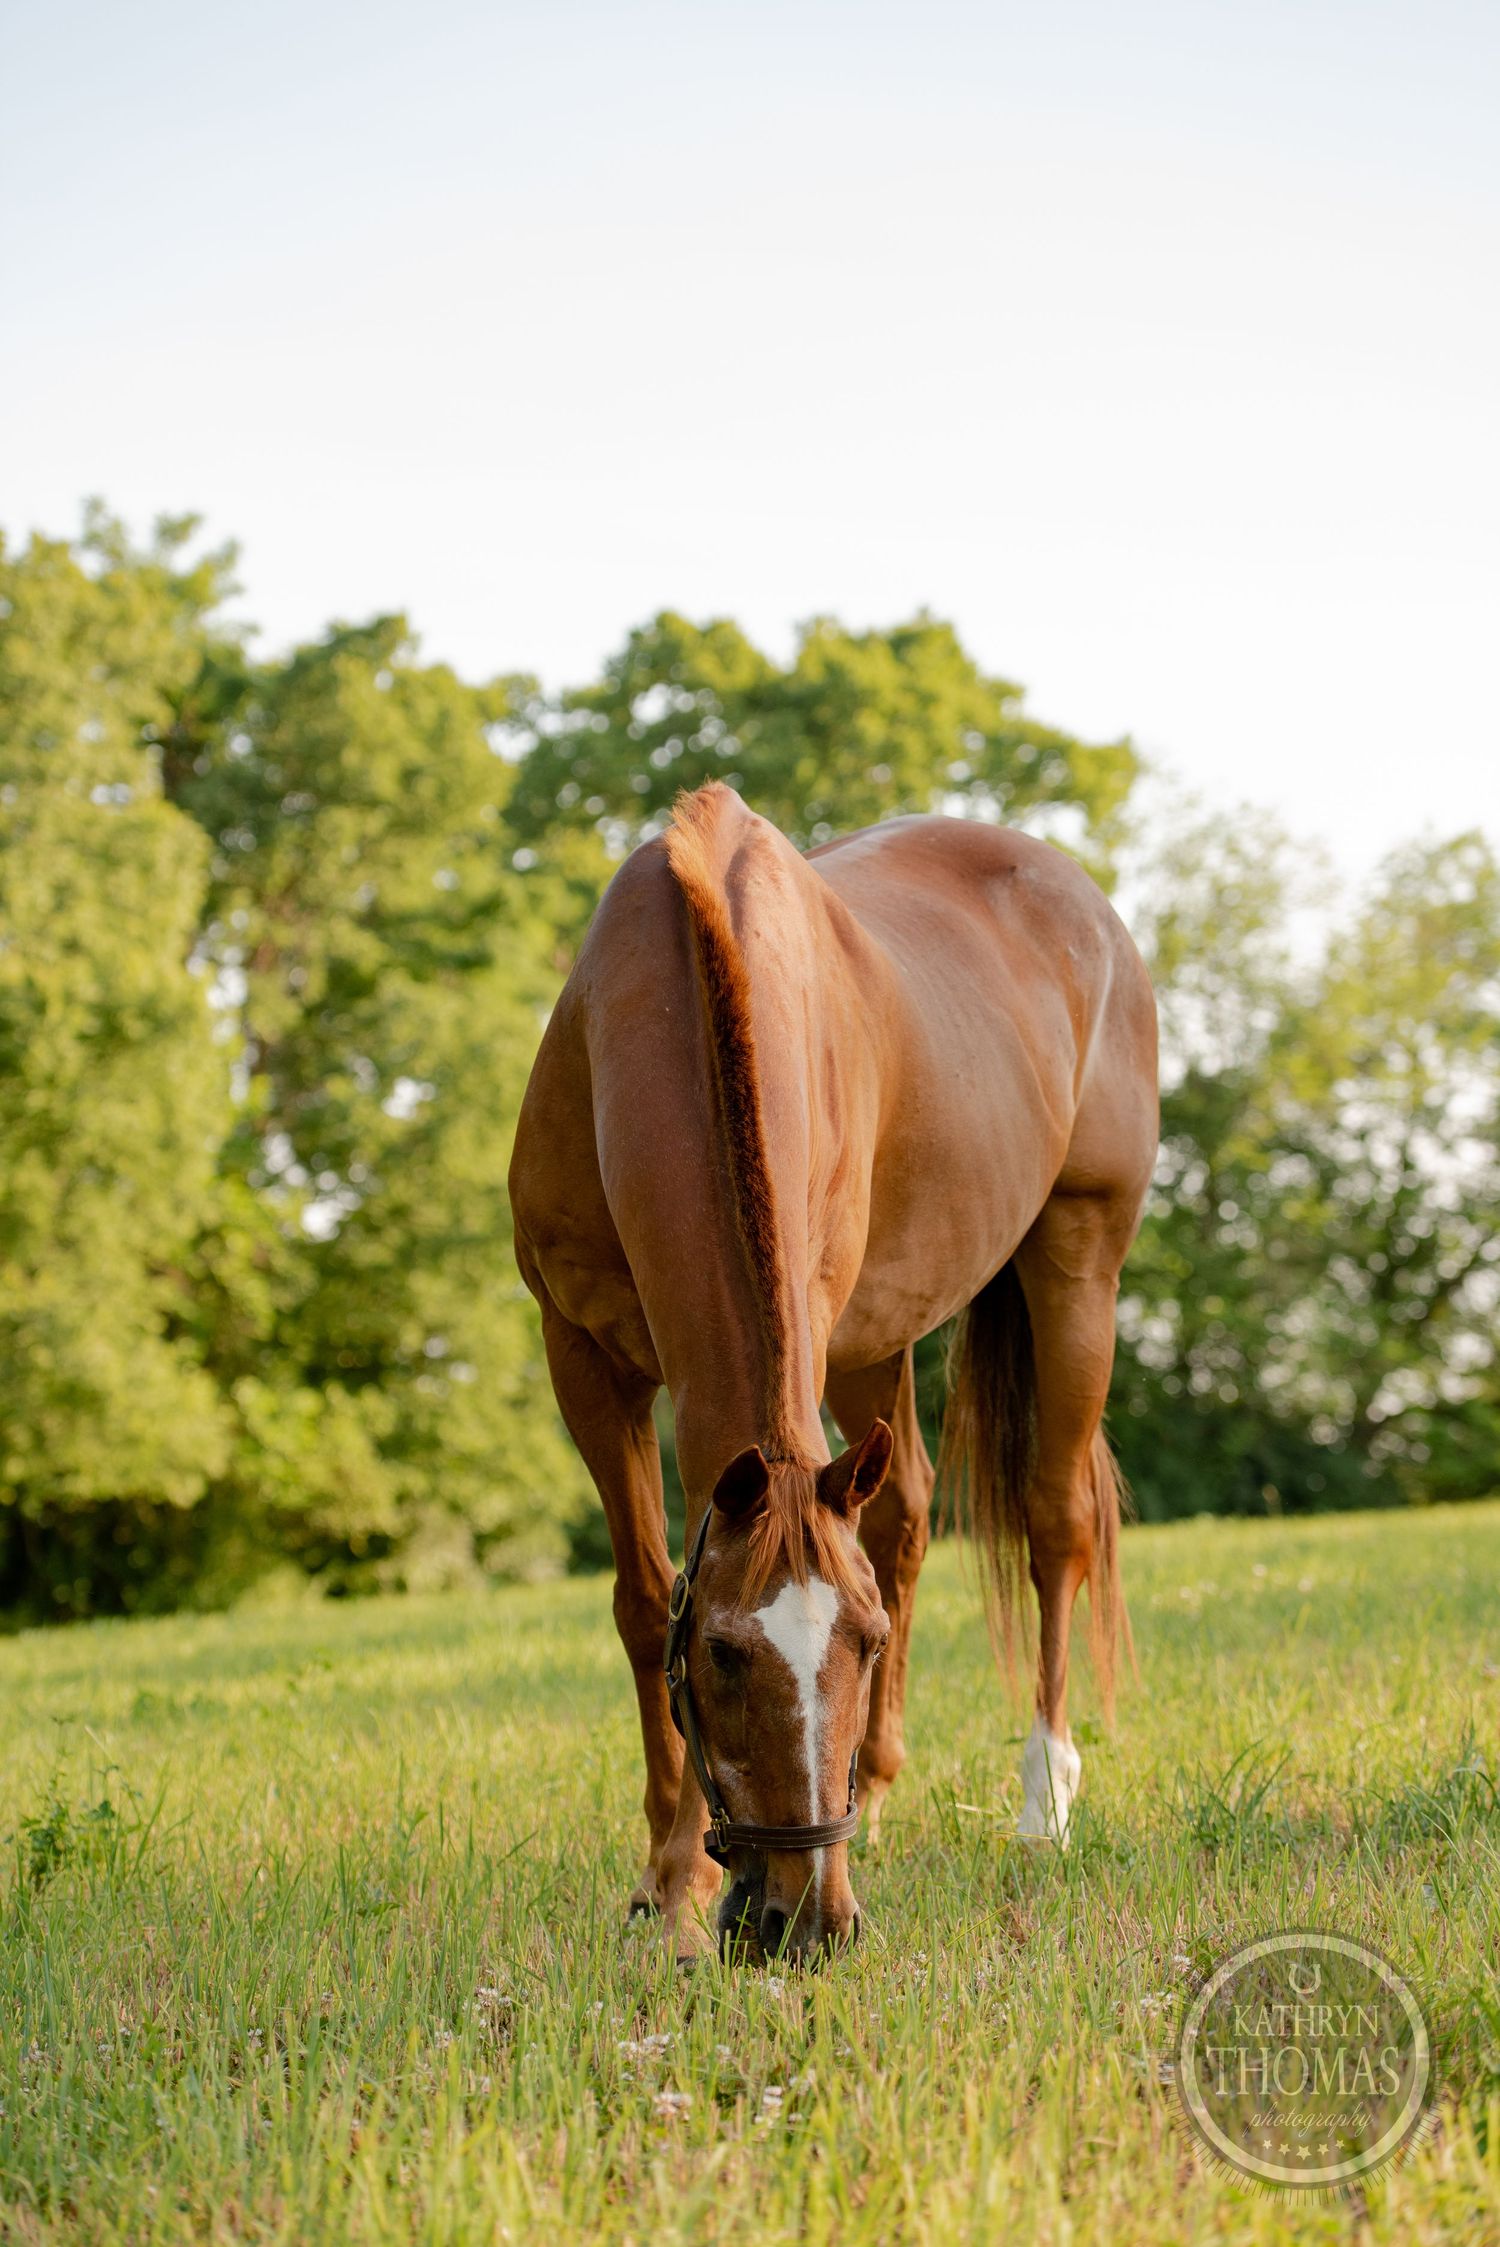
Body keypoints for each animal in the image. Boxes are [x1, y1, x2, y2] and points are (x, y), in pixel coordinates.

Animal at [508, 782, 1158, 1961]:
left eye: (865, 1641)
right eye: (722, 1653)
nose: (807, 1921)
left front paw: (677, 1878)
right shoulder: (581, 1354)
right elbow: (642, 1600)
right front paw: (665, 1878)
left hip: (1079, 1265)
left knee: (1056, 1523)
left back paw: (1044, 1799)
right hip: (876, 1339)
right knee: (903, 1515)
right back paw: (887, 1790)